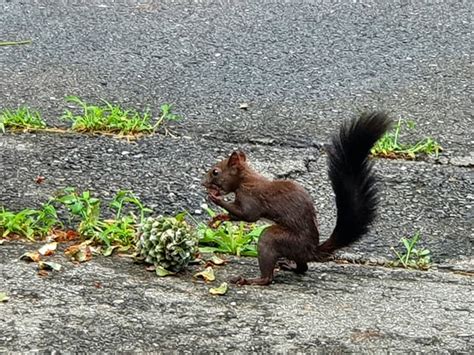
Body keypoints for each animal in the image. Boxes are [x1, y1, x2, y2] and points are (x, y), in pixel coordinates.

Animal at [204, 112, 392, 286]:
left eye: (215, 172)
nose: (203, 183)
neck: (245, 179)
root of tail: (311, 251)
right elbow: (235, 215)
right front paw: (218, 218)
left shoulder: (251, 198)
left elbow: (248, 215)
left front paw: (215, 199)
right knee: (303, 267)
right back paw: (290, 266)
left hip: (278, 240)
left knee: (269, 276)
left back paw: (251, 280)